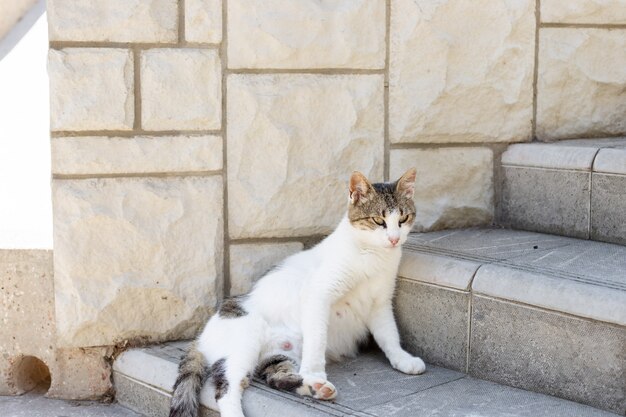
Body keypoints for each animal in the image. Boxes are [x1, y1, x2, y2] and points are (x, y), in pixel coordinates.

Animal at [168, 167, 426, 416]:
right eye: (378, 220)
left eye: (403, 218)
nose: (394, 239)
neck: (373, 256)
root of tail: (201, 337)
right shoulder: (319, 292)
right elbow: (317, 339)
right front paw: (315, 372)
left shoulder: (380, 302)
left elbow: (388, 334)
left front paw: (402, 359)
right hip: (243, 344)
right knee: (226, 388)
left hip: (278, 354)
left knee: (275, 377)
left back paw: (314, 388)